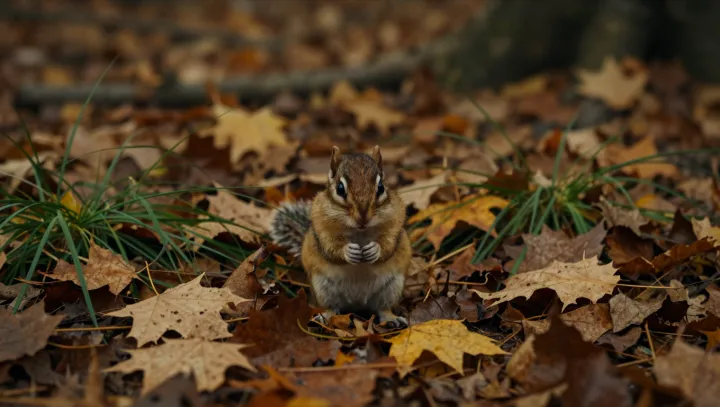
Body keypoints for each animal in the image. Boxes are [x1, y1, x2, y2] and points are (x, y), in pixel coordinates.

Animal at [270, 145, 411, 327]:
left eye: (380, 187)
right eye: (340, 188)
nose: (363, 217)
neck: (360, 231)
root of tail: (357, 304)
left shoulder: (396, 220)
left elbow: (389, 244)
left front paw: (375, 250)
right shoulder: (321, 226)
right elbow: (330, 248)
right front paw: (348, 251)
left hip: (392, 287)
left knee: (382, 308)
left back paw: (392, 318)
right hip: (323, 288)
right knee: (332, 307)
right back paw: (325, 317)